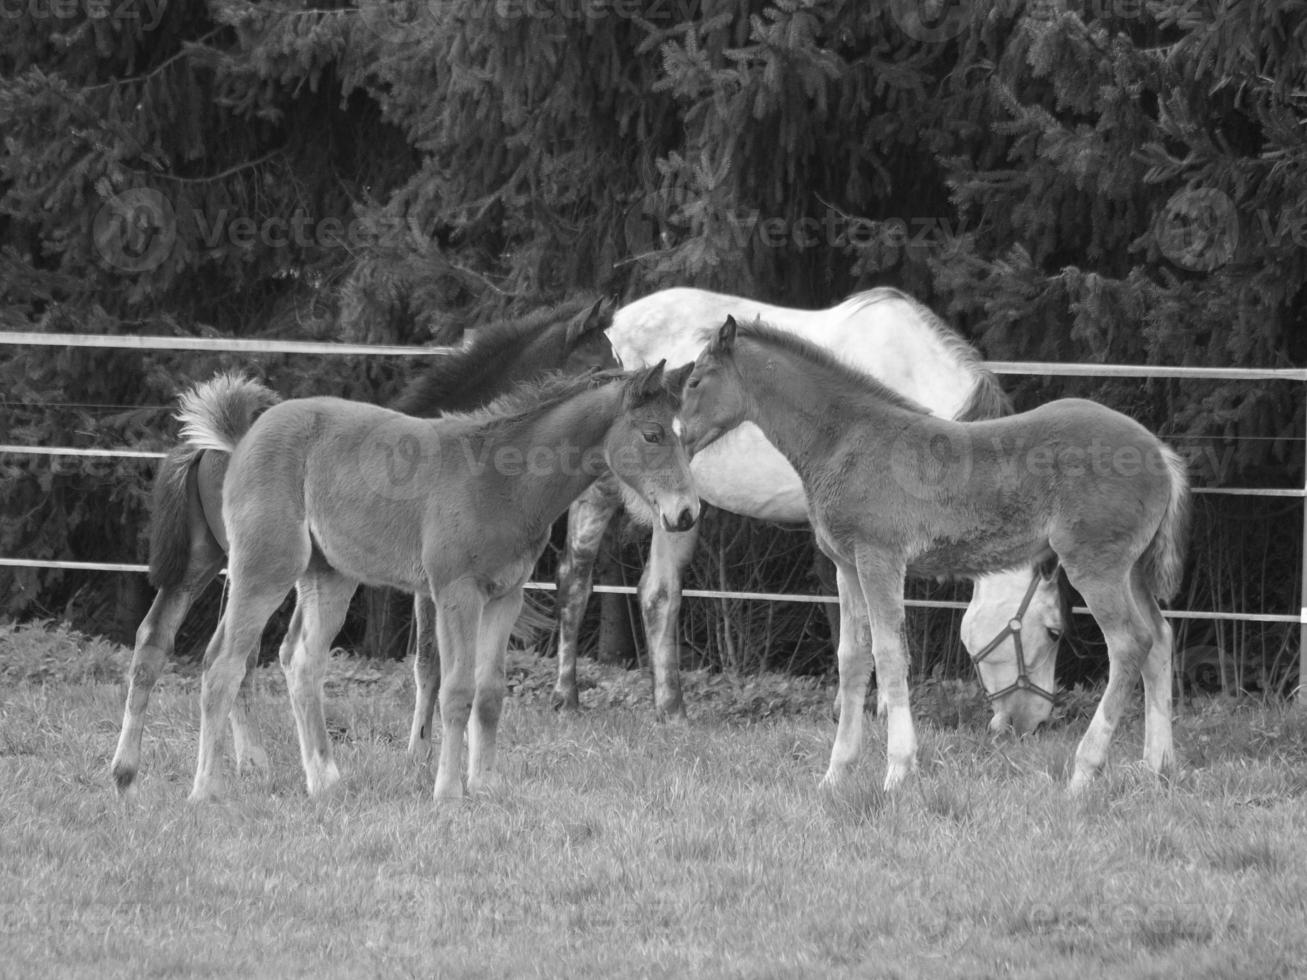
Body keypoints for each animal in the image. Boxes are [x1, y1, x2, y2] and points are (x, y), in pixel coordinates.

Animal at [109, 299, 614, 799]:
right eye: (601, 363)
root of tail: (218, 439)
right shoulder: (435, 586)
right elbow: (430, 665)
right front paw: (423, 755)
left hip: (204, 563)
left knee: (157, 641)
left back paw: (130, 770)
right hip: (251, 564)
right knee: (232, 657)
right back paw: (247, 765)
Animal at [181, 365, 705, 799]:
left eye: (685, 435)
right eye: (652, 434)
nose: (686, 513)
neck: (501, 479)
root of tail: (246, 436)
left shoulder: (505, 596)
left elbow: (489, 694)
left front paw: (485, 785)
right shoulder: (456, 592)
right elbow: (455, 690)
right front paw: (448, 792)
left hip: (328, 575)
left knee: (300, 662)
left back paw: (325, 781)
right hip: (265, 566)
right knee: (222, 663)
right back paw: (207, 789)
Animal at [546, 287, 1066, 731]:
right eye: (1055, 632)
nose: (1032, 724)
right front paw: (874, 709)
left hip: (678, 509)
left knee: (654, 592)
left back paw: (666, 707)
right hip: (606, 492)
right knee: (579, 580)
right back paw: (573, 698)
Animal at [679, 318, 1191, 794]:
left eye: (695, 379)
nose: (678, 438)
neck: (844, 440)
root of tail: (1160, 453)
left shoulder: (880, 558)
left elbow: (889, 654)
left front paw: (897, 771)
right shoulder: (847, 566)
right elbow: (851, 659)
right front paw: (835, 774)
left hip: (1096, 565)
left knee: (1129, 643)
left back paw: (1085, 773)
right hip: (1132, 570)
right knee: (1159, 638)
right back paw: (1155, 768)